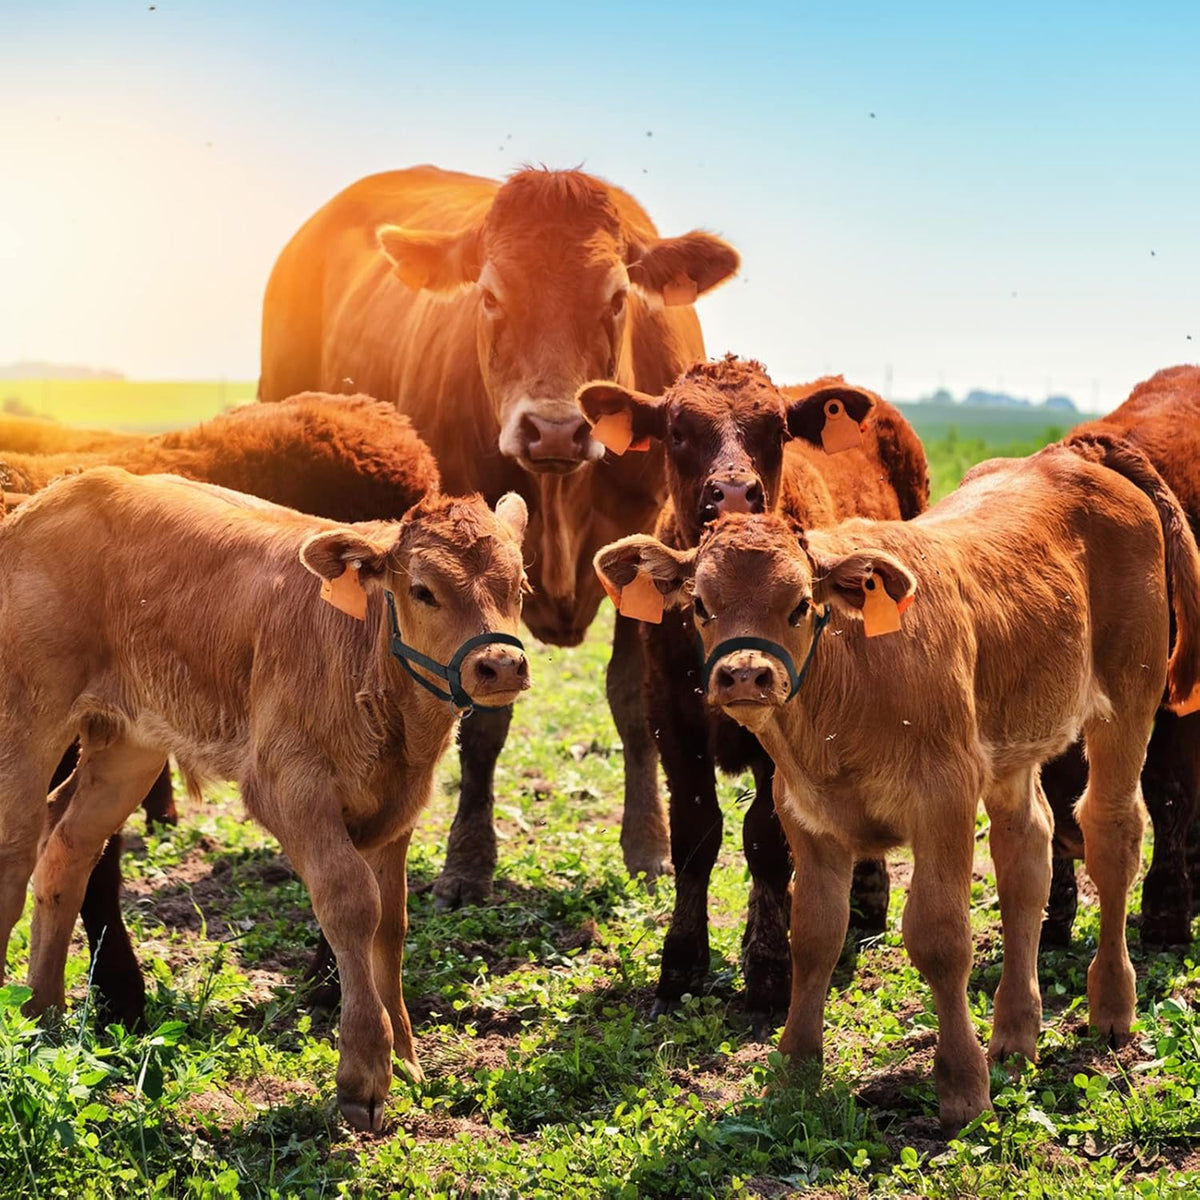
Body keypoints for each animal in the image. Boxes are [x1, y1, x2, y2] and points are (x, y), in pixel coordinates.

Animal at [0, 468, 531, 1132]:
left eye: (519, 585)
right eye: (423, 590)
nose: (501, 664)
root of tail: (57, 493)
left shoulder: (397, 806)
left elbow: (392, 922)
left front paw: (408, 1061)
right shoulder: (288, 784)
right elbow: (352, 904)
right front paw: (364, 1073)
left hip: (130, 742)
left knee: (68, 851)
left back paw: (42, 1019)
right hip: (26, 717)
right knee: (15, 851)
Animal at [260, 164, 740, 905]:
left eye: (616, 298)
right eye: (490, 296)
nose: (554, 428)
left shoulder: (641, 549)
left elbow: (632, 700)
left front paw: (648, 845)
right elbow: (482, 719)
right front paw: (467, 862)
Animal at [576, 357, 928, 1024]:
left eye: (777, 431)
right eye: (678, 431)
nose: (735, 494)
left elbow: (766, 837)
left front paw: (768, 966)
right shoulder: (670, 716)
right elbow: (695, 832)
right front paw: (682, 962)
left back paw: (866, 897)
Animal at [594, 434, 1200, 1130]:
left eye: (801, 605)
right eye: (700, 604)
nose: (745, 674)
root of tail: (1068, 454)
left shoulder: (944, 798)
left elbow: (939, 937)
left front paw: (962, 1086)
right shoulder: (805, 814)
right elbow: (814, 935)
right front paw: (794, 1068)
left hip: (1129, 700)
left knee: (1111, 833)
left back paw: (1111, 1006)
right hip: (1012, 746)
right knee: (1027, 855)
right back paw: (1015, 1032)